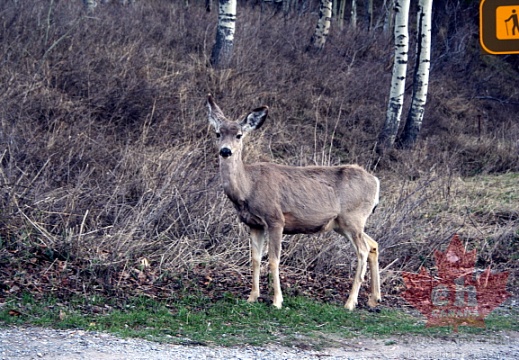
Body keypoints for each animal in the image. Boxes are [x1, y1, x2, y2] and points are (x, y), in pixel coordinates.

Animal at [207, 93, 382, 310]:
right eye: (217, 133)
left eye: (239, 135)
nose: (225, 151)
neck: (248, 188)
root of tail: (376, 182)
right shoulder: (254, 224)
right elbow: (255, 259)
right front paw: (252, 297)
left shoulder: (275, 219)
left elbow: (273, 260)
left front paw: (277, 301)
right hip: (342, 223)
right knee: (373, 245)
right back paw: (374, 298)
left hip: (353, 217)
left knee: (363, 251)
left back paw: (350, 303)